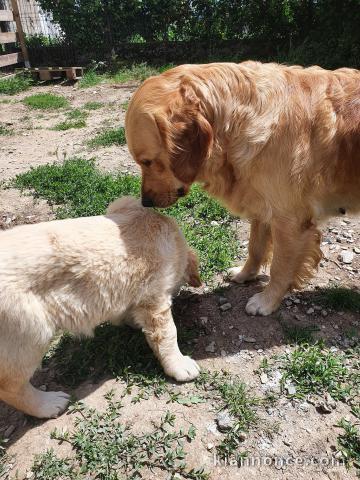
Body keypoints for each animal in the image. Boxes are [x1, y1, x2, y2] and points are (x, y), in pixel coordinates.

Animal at [0, 196, 201, 416]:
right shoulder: (154, 299)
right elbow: (167, 335)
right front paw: (180, 366)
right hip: (28, 334)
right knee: (10, 386)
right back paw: (49, 404)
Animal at [124, 62, 360, 316]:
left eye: (147, 161)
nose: (145, 202)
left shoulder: (290, 221)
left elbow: (280, 267)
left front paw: (267, 301)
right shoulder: (263, 207)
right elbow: (255, 248)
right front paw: (245, 274)